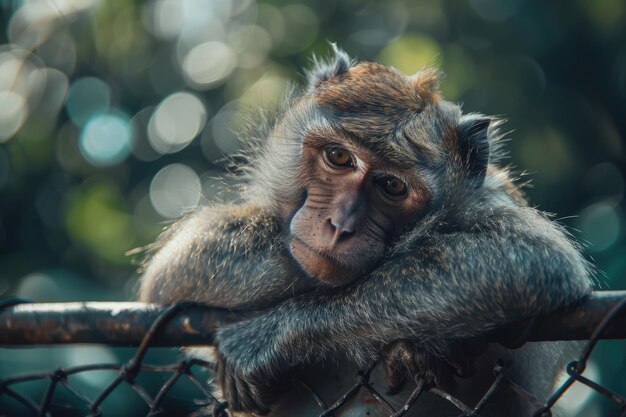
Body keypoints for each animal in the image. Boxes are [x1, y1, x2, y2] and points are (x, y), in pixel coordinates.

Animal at [139, 46, 592, 416]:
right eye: (339, 157)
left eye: (392, 186)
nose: (340, 226)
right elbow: (177, 270)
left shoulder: (494, 203)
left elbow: (528, 260)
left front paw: (268, 337)